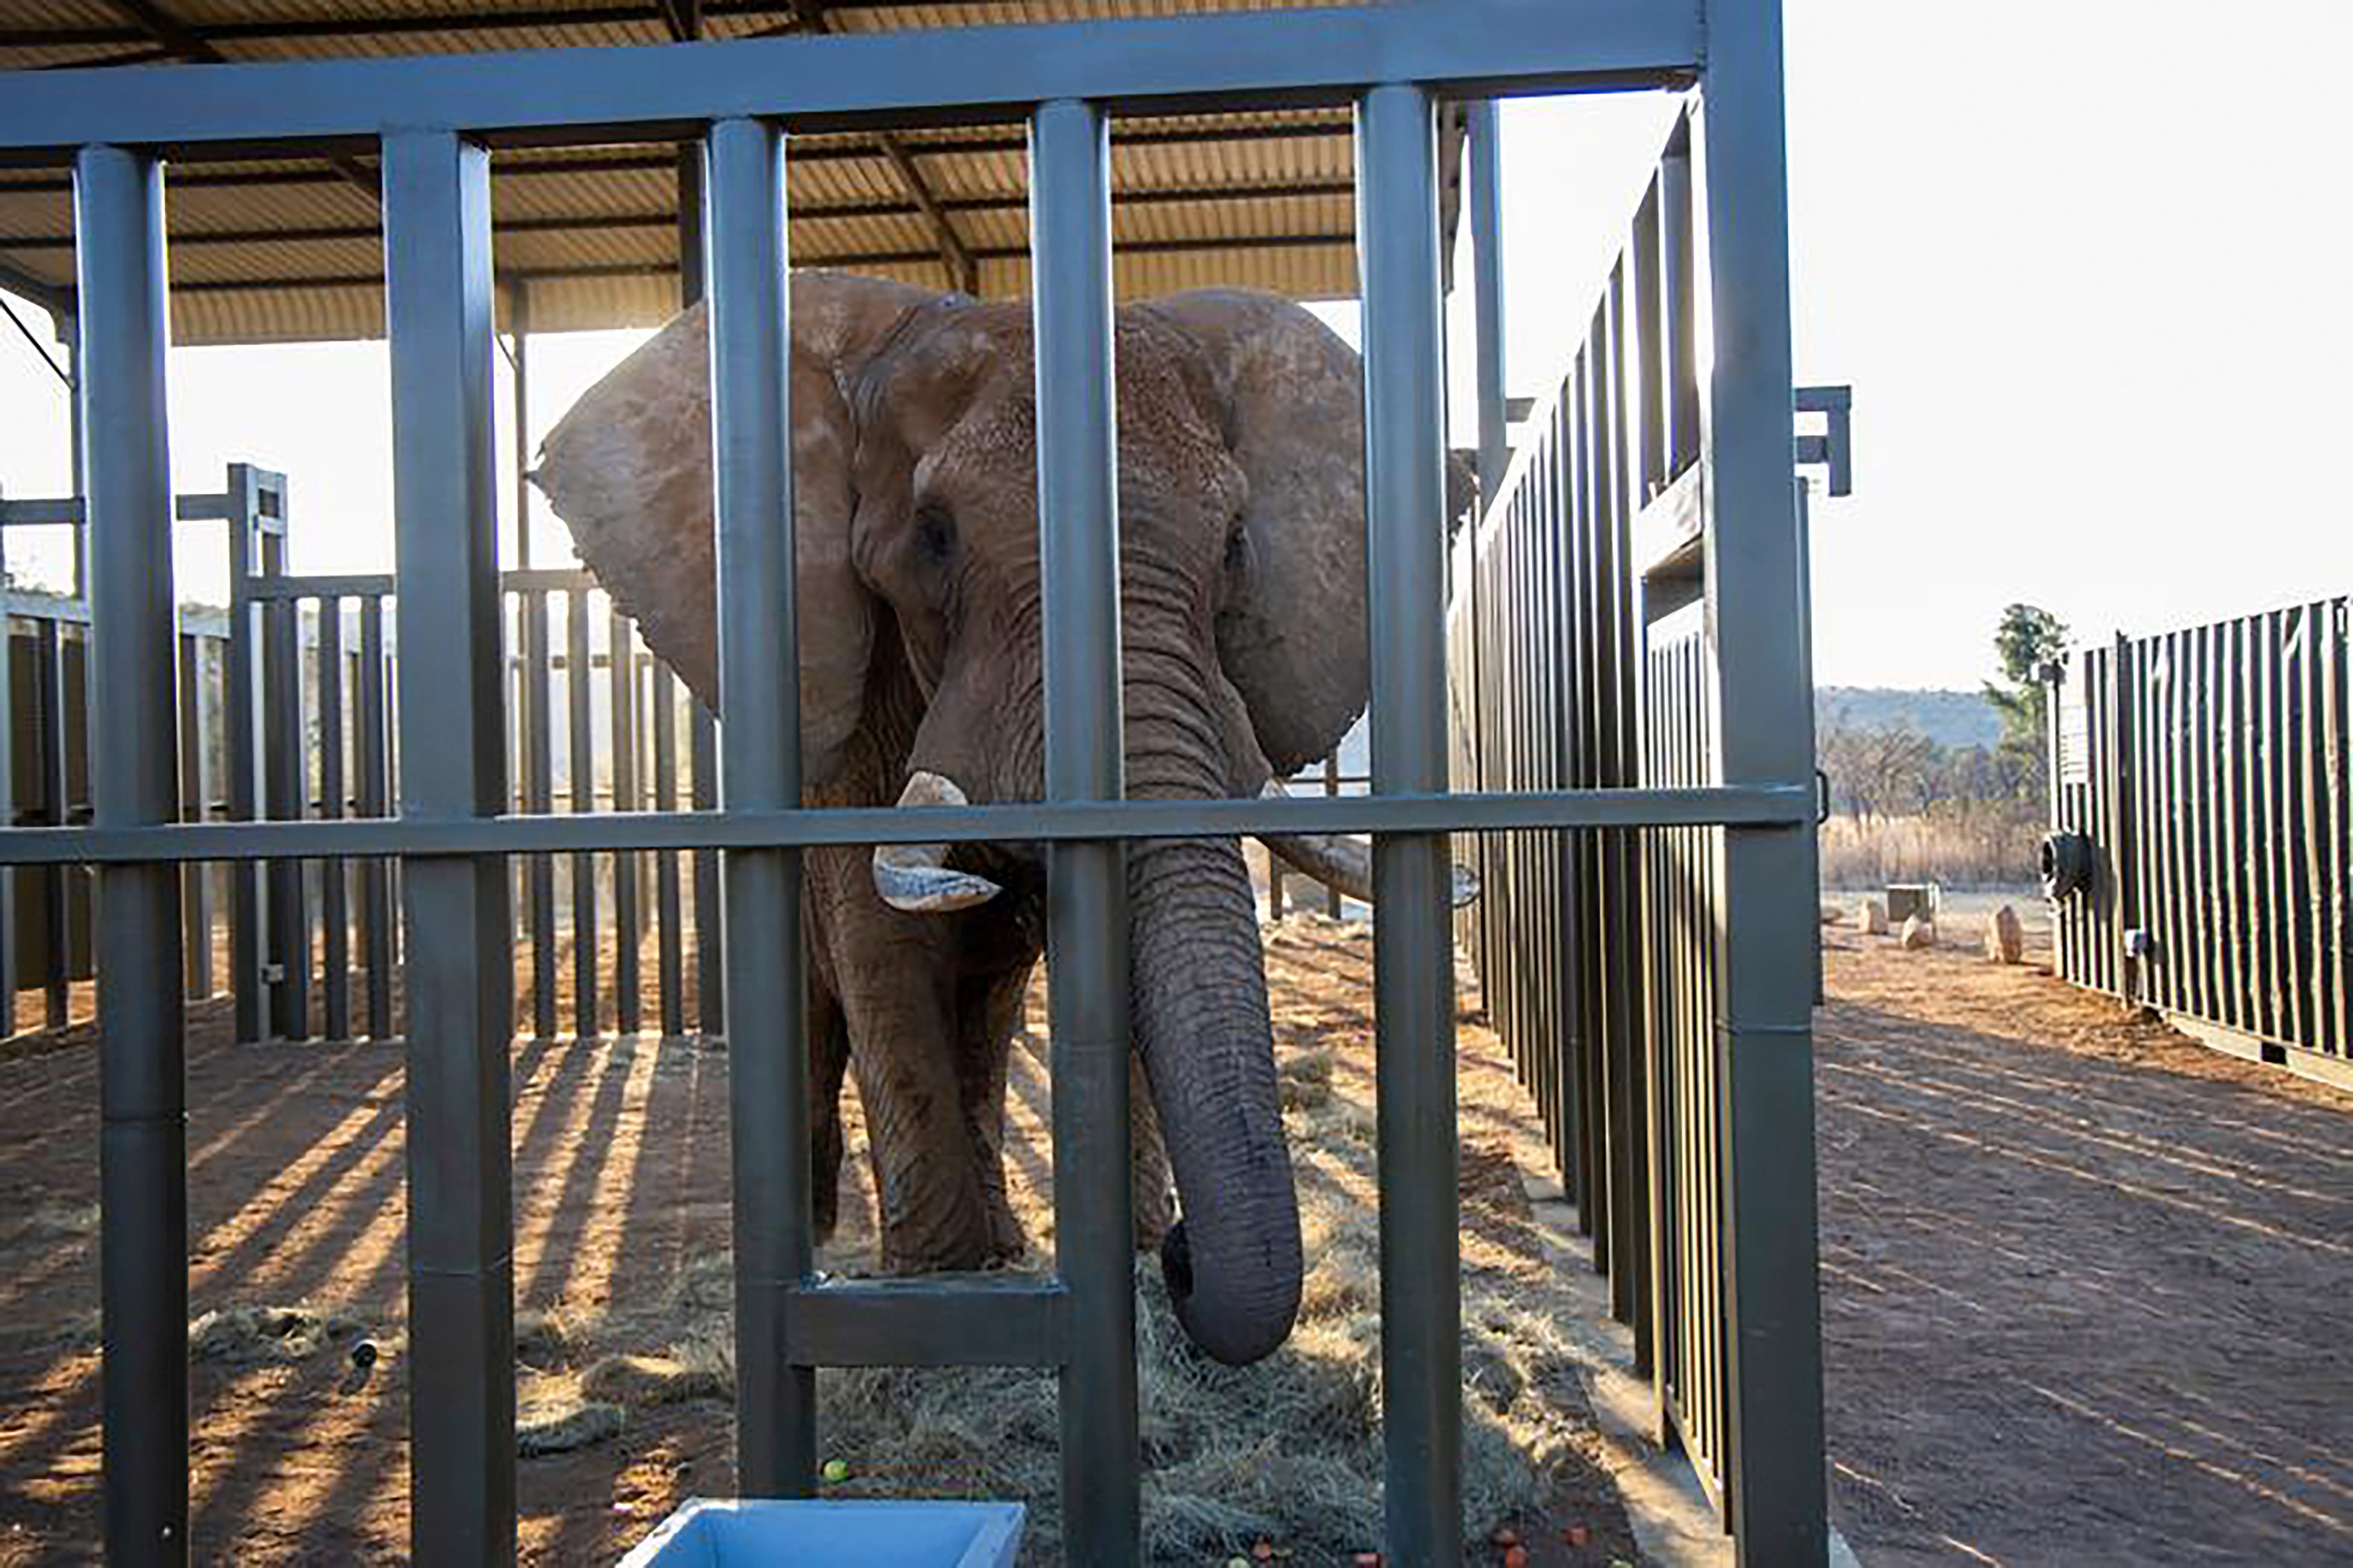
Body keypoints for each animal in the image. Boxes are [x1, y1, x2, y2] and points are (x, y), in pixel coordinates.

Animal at [532, 266, 1412, 1356]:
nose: (1184, 1259)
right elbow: (883, 942)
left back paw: (998, 1238)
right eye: (936, 536)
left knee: (986, 1010)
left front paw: (1113, 1256)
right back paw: (829, 1235)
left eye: (1237, 545)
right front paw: (932, 1294)